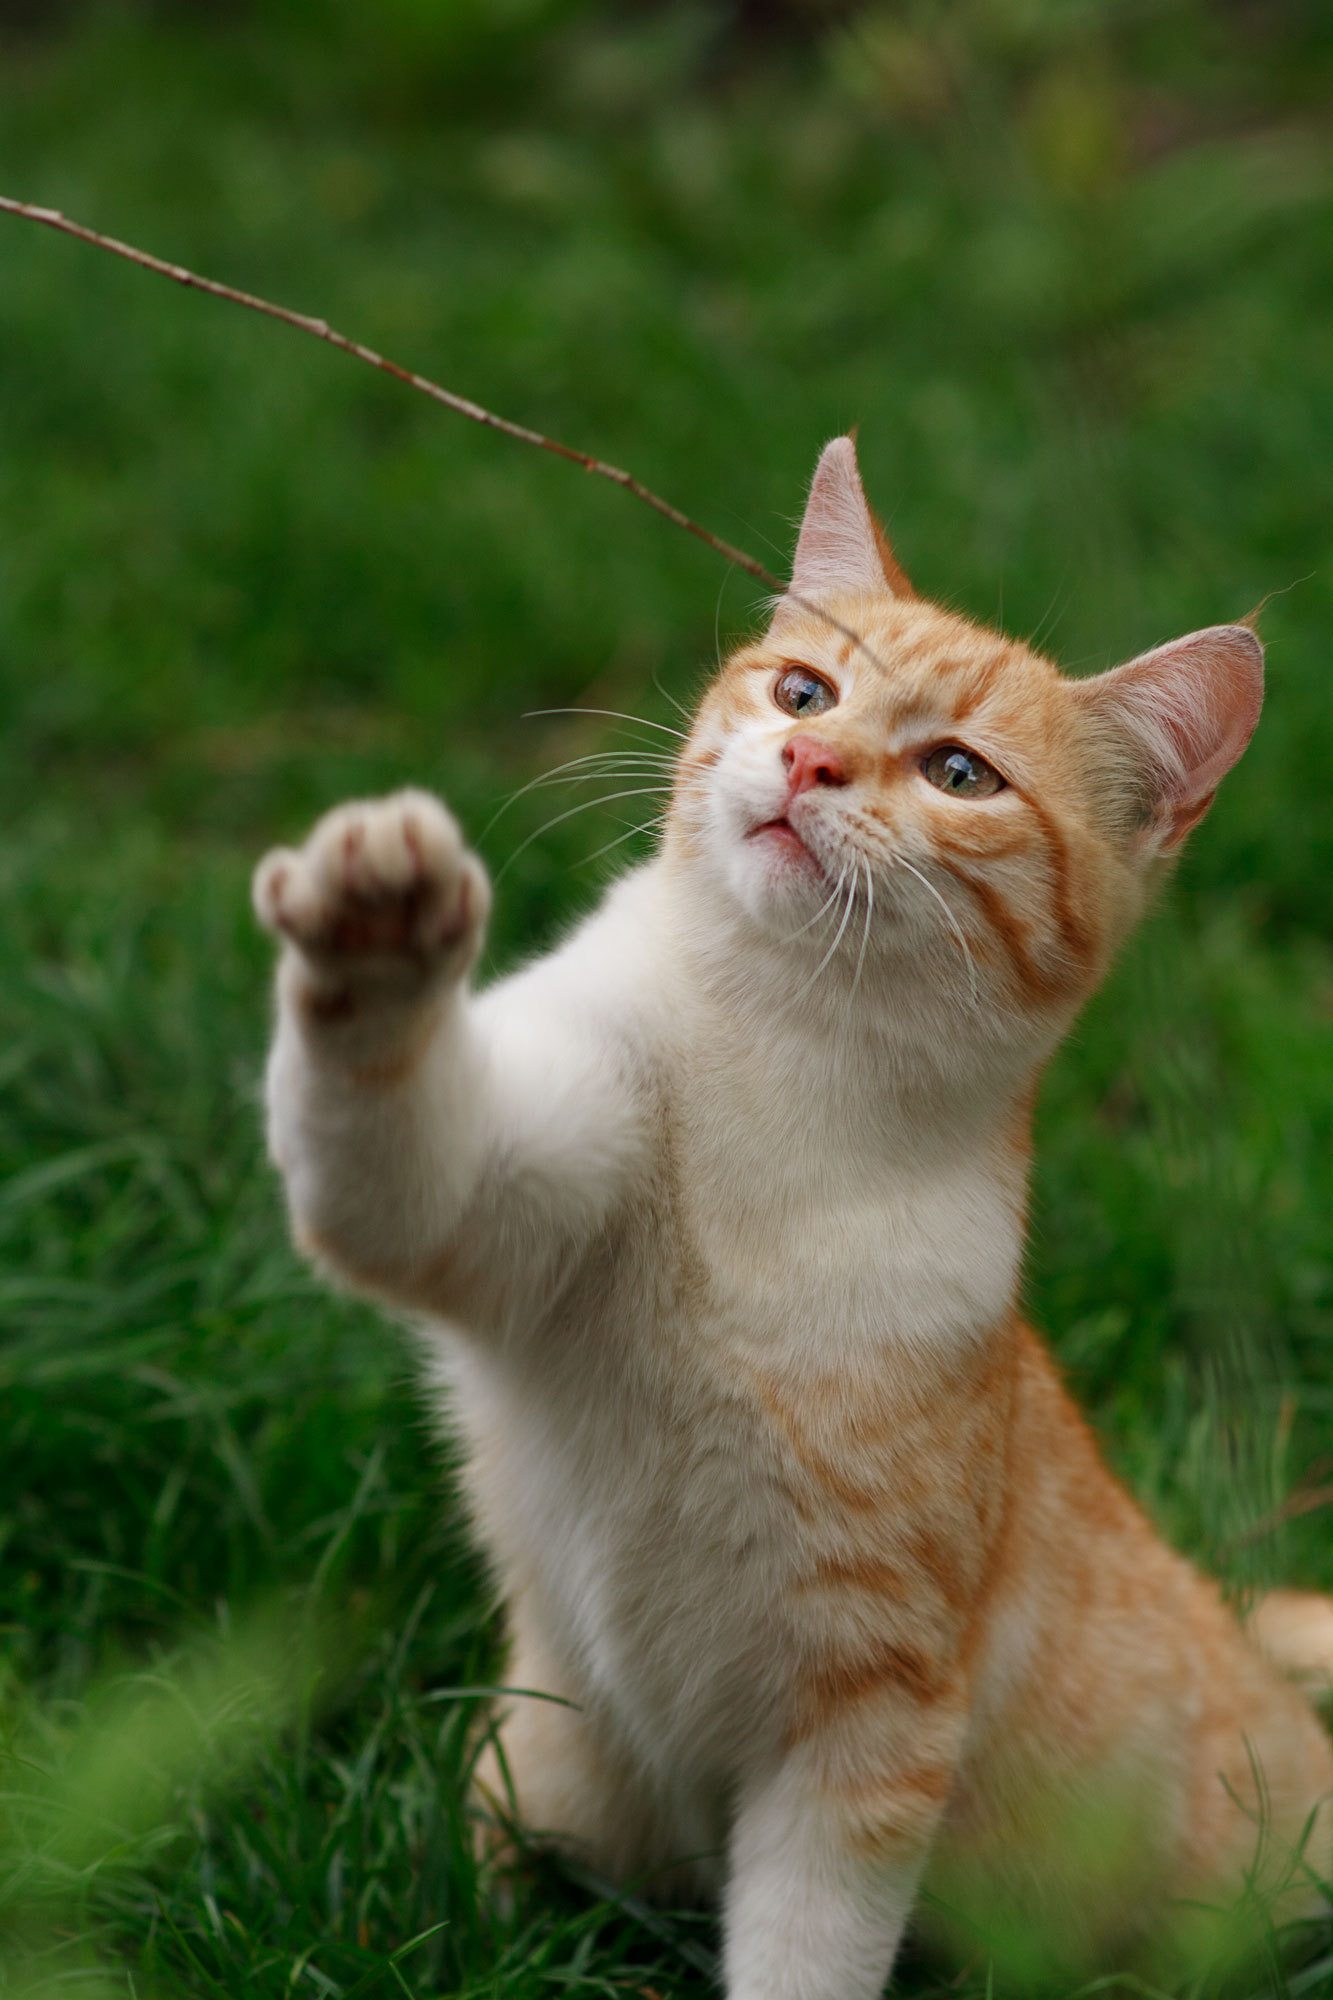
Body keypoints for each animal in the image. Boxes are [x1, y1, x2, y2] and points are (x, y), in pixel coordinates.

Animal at [252, 442, 1328, 2000]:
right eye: (805, 692)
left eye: (958, 772)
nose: (810, 762)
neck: (779, 1071)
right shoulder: (475, 1201)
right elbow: (386, 1145)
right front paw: (376, 928)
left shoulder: (866, 1733)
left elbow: (804, 1957)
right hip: (544, 1766)